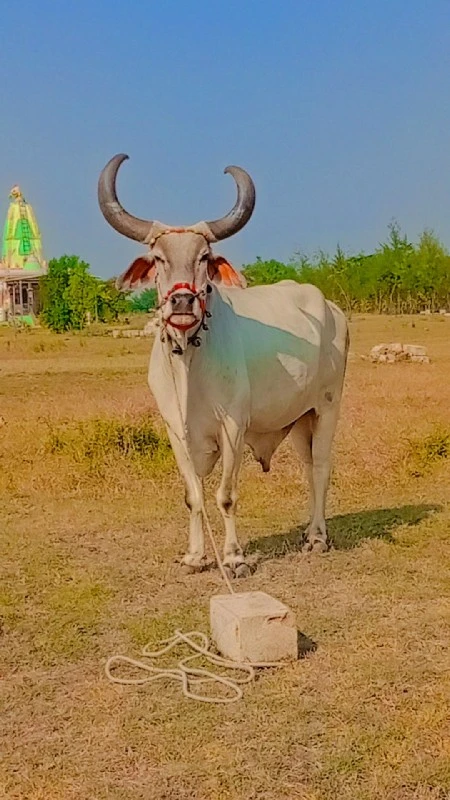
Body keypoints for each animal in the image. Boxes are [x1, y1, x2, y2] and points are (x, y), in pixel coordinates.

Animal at [98, 155, 350, 576]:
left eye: (204, 257)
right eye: (159, 259)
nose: (182, 303)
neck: (190, 366)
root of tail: (332, 309)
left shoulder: (233, 429)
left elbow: (226, 496)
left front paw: (233, 558)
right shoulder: (175, 432)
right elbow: (194, 496)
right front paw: (196, 556)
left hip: (328, 405)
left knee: (320, 467)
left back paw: (317, 536)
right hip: (300, 418)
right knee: (307, 467)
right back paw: (307, 531)